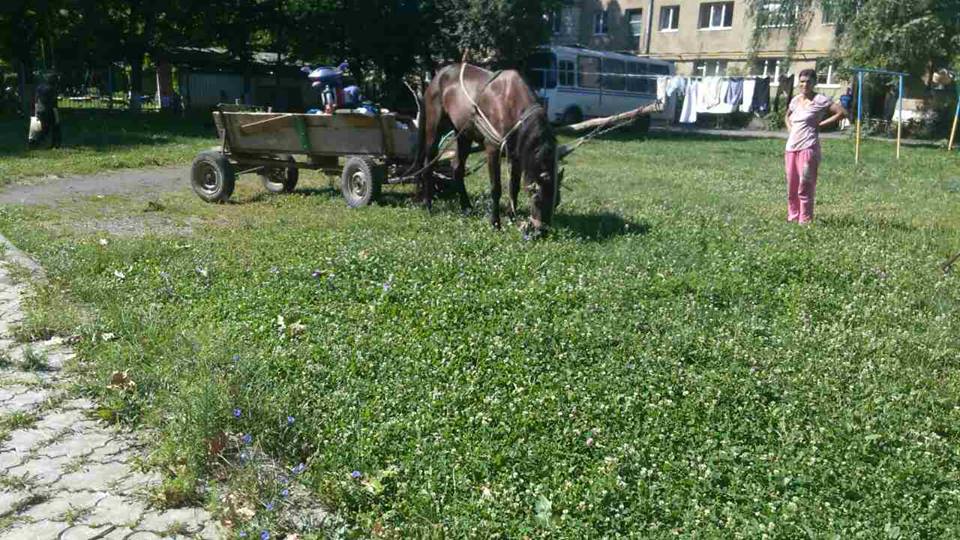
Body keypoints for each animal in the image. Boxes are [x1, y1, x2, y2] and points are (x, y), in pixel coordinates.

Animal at [414, 62, 564, 235]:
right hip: (434, 129)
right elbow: (496, 188)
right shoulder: (493, 149)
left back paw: (466, 207)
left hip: (463, 135)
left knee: (457, 168)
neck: (510, 103)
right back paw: (428, 204)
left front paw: (512, 218)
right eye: (537, 198)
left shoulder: (516, 155)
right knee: (428, 164)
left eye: (557, 200)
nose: (542, 232)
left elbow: (514, 187)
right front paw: (495, 223)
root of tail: (437, 77)